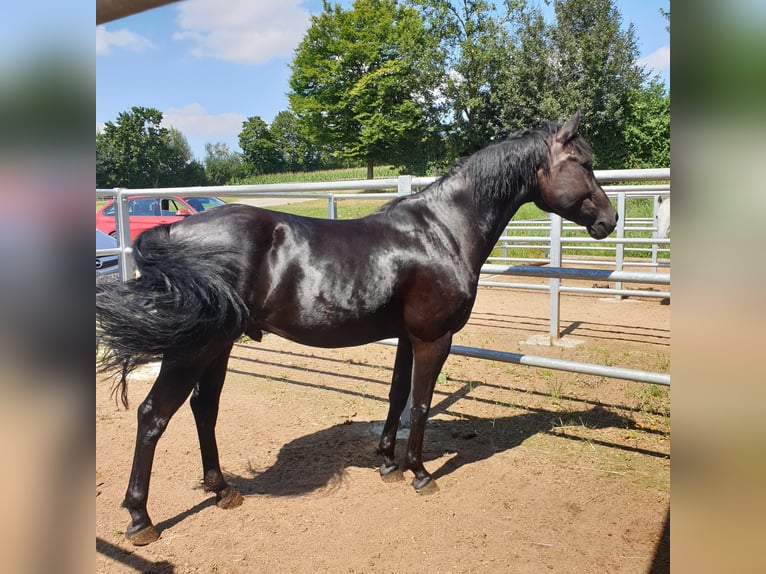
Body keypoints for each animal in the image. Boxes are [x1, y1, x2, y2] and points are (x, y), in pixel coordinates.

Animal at [99, 113, 620, 548]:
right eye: (583, 163)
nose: (610, 219)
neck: (443, 230)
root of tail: (174, 231)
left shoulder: (408, 337)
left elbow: (396, 395)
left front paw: (388, 462)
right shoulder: (435, 338)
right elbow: (422, 402)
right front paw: (420, 472)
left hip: (219, 344)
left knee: (204, 409)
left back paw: (222, 489)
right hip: (194, 348)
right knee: (153, 416)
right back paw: (141, 520)